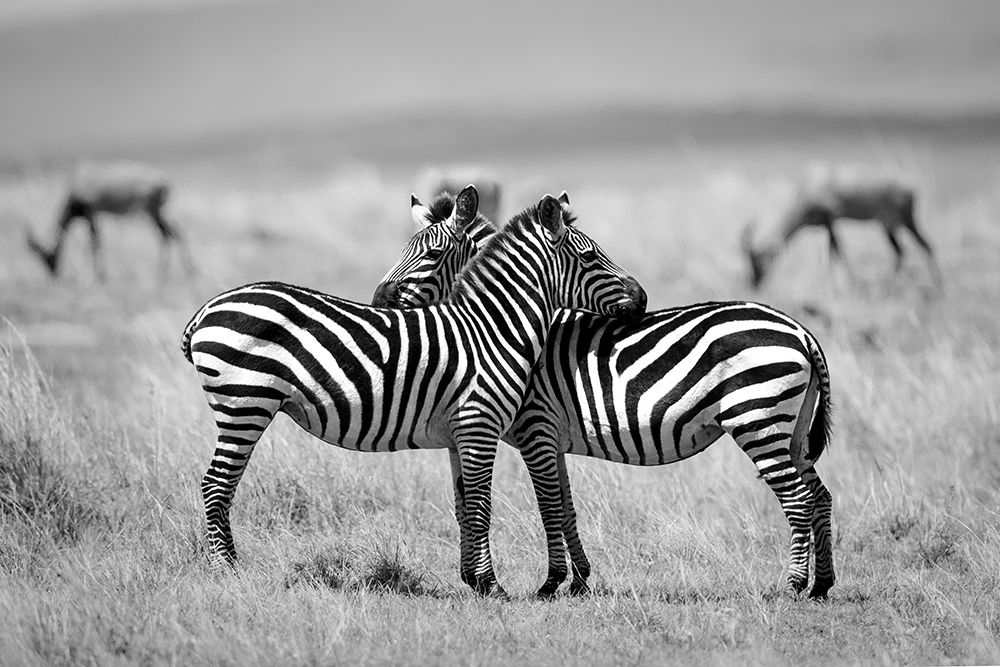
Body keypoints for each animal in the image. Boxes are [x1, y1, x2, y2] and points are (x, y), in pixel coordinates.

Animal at [180, 185, 647, 597]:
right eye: (589, 256)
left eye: (430, 254)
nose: (642, 299)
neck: (490, 328)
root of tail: (207, 309)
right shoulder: (481, 424)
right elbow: (484, 504)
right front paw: (494, 587)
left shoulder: (460, 434)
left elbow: (465, 505)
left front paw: (474, 581)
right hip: (245, 404)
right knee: (216, 483)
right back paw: (228, 570)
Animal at [373, 192, 836, 599]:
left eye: (431, 256)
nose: (378, 299)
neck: (501, 326)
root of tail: (800, 331)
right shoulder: (550, 438)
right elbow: (566, 505)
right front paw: (579, 580)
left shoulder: (536, 426)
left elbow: (548, 506)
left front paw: (551, 583)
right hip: (790, 430)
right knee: (819, 496)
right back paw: (822, 585)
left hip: (757, 419)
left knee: (797, 498)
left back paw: (794, 585)